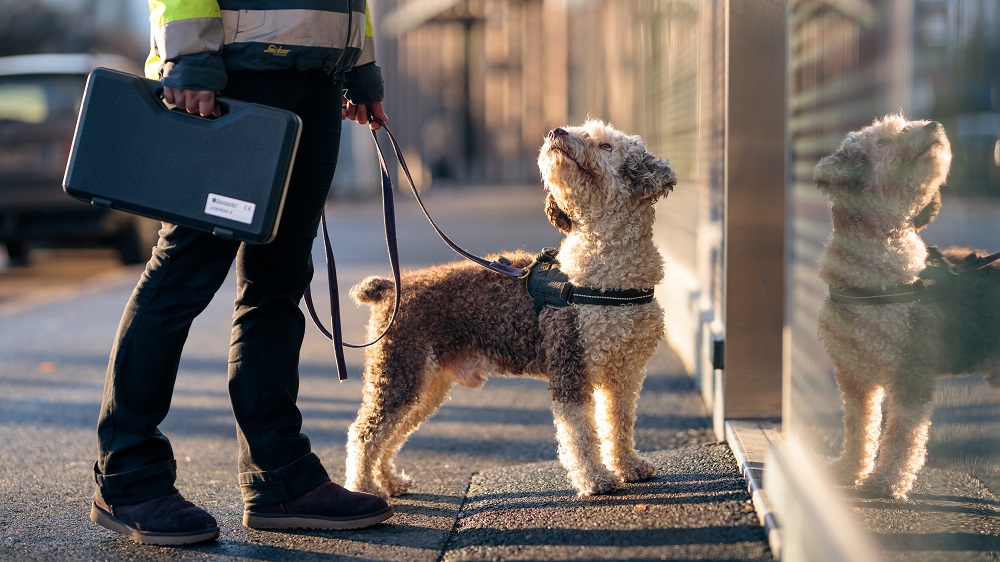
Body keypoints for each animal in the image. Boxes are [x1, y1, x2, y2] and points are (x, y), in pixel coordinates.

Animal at [344, 119, 680, 494]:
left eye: (605, 145)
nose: (557, 132)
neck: (608, 277)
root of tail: (390, 288)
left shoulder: (624, 373)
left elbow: (618, 423)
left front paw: (628, 466)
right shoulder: (569, 366)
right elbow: (579, 433)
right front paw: (594, 479)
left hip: (425, 384)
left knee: (391, 435)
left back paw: (387, 481)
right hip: (400, 371)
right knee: (365, 433)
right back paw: (363, 487)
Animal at [812, 114, 1000, 498]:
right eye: (882, 141)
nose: (934, 125)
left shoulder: (912, 374)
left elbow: (903, 435)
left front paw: (887, 481)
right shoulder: (853, 376)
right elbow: (859, 428)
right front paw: (849, 471)